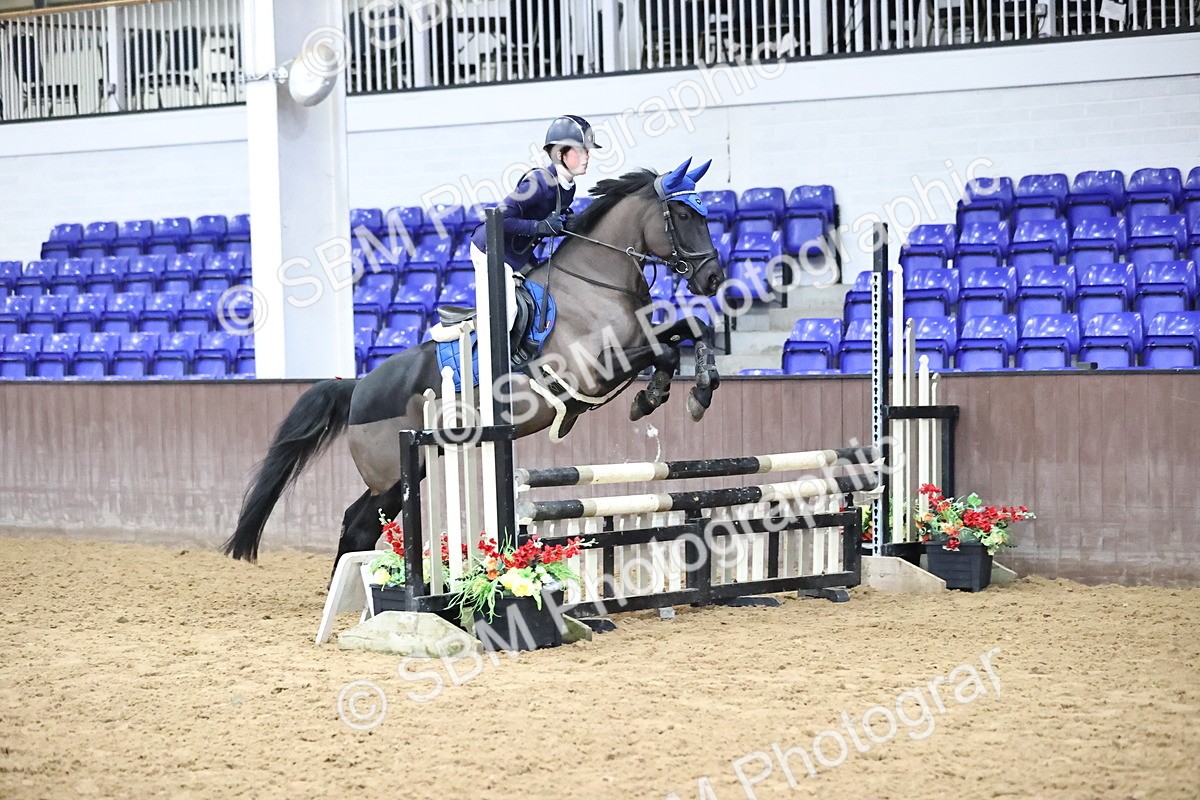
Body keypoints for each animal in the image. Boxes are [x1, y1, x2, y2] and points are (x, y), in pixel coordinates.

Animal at [223, 158, 727, 573]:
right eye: (685, 216)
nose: (713, 278)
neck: (596, 281)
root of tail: (358, 387)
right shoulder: (594, 370)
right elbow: (665, 351)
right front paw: (654, 397)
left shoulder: (640, 338)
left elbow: (692, 328)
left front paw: (698, 390)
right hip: (394, 474)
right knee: (360, 524)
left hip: (413, 468)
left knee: (358, 523)